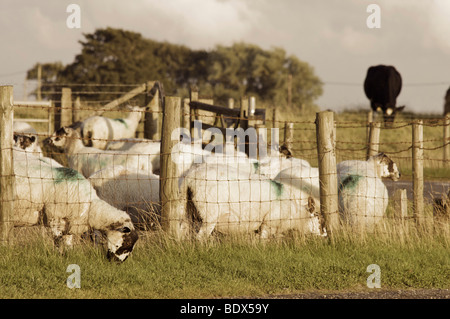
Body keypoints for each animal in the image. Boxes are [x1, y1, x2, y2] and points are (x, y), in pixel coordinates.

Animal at [181, 162, 322, 240]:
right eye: (316, 219)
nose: (322, 236)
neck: (293, 213)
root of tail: (190, 176)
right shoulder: (268, 224)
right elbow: (263, 241)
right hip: (208, 215)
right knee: (200, 237)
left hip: (186, 210)